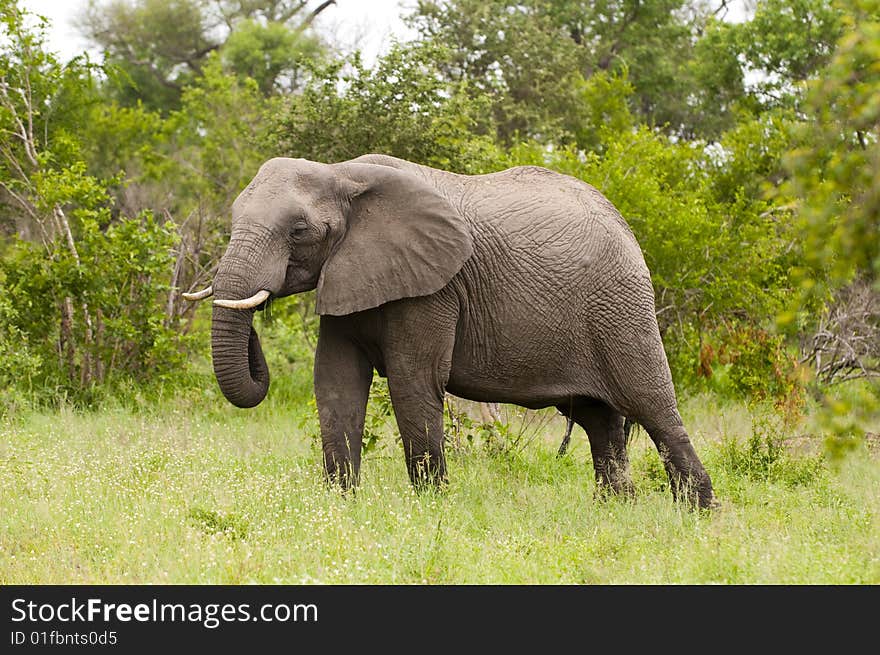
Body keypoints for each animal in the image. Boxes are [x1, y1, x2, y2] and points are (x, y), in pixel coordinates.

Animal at [184, 155, 716, 512]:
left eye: (298, 230)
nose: (257, 309)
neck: (343, 173)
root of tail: (624, 224)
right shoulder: (349, 274)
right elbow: (335, 382)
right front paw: (339, 504)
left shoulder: (433, 288)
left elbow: (413, 381)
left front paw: (430, 507)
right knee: (599, 421)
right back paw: (616, 509)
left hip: (621, 306)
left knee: (652, 405)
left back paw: (698, 514)